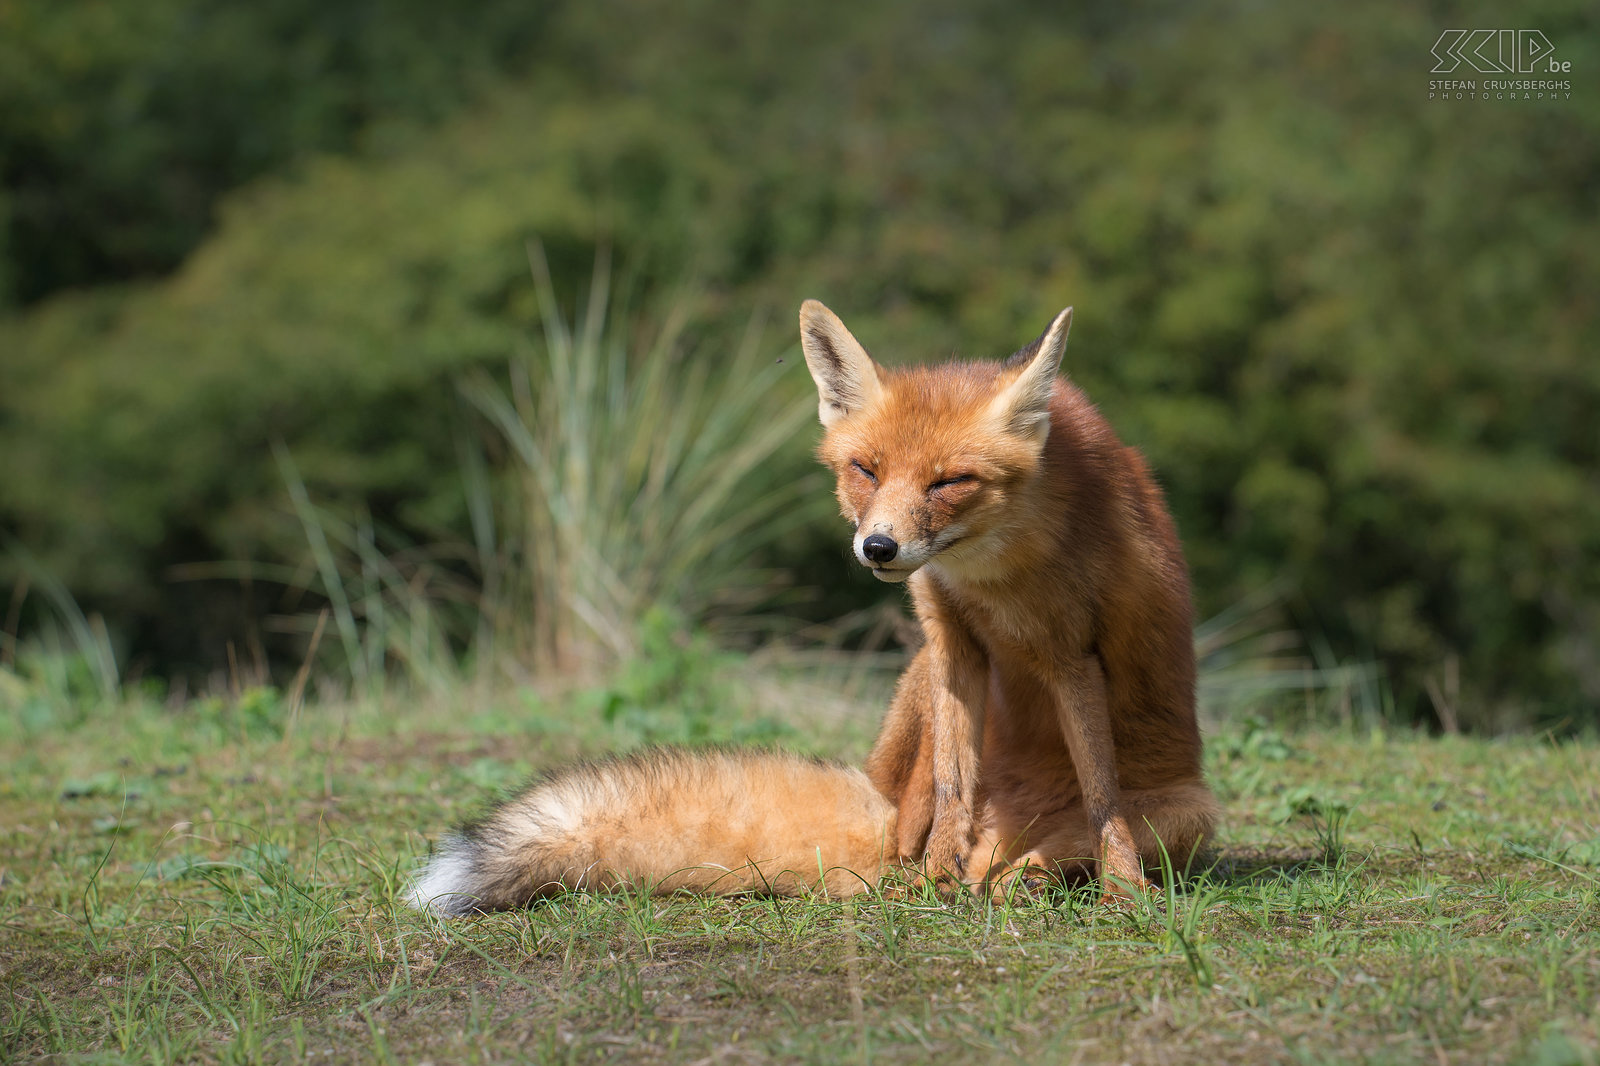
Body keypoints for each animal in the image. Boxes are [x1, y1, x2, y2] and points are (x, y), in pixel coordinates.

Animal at [406, 300, 1216, 915]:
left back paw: (1027, 879)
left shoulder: (1069, 653)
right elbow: (952, 785)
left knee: (1037, 851)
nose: (879, 548)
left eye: (949, 481)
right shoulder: (951, 642)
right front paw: (936, 879)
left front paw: (1123, 894)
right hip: (915, 688)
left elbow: (1103, 796)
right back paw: (931, 877)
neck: (991, 576)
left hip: (1188, 816)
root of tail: (1007, 829)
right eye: (867, 470)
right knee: (910, 833)